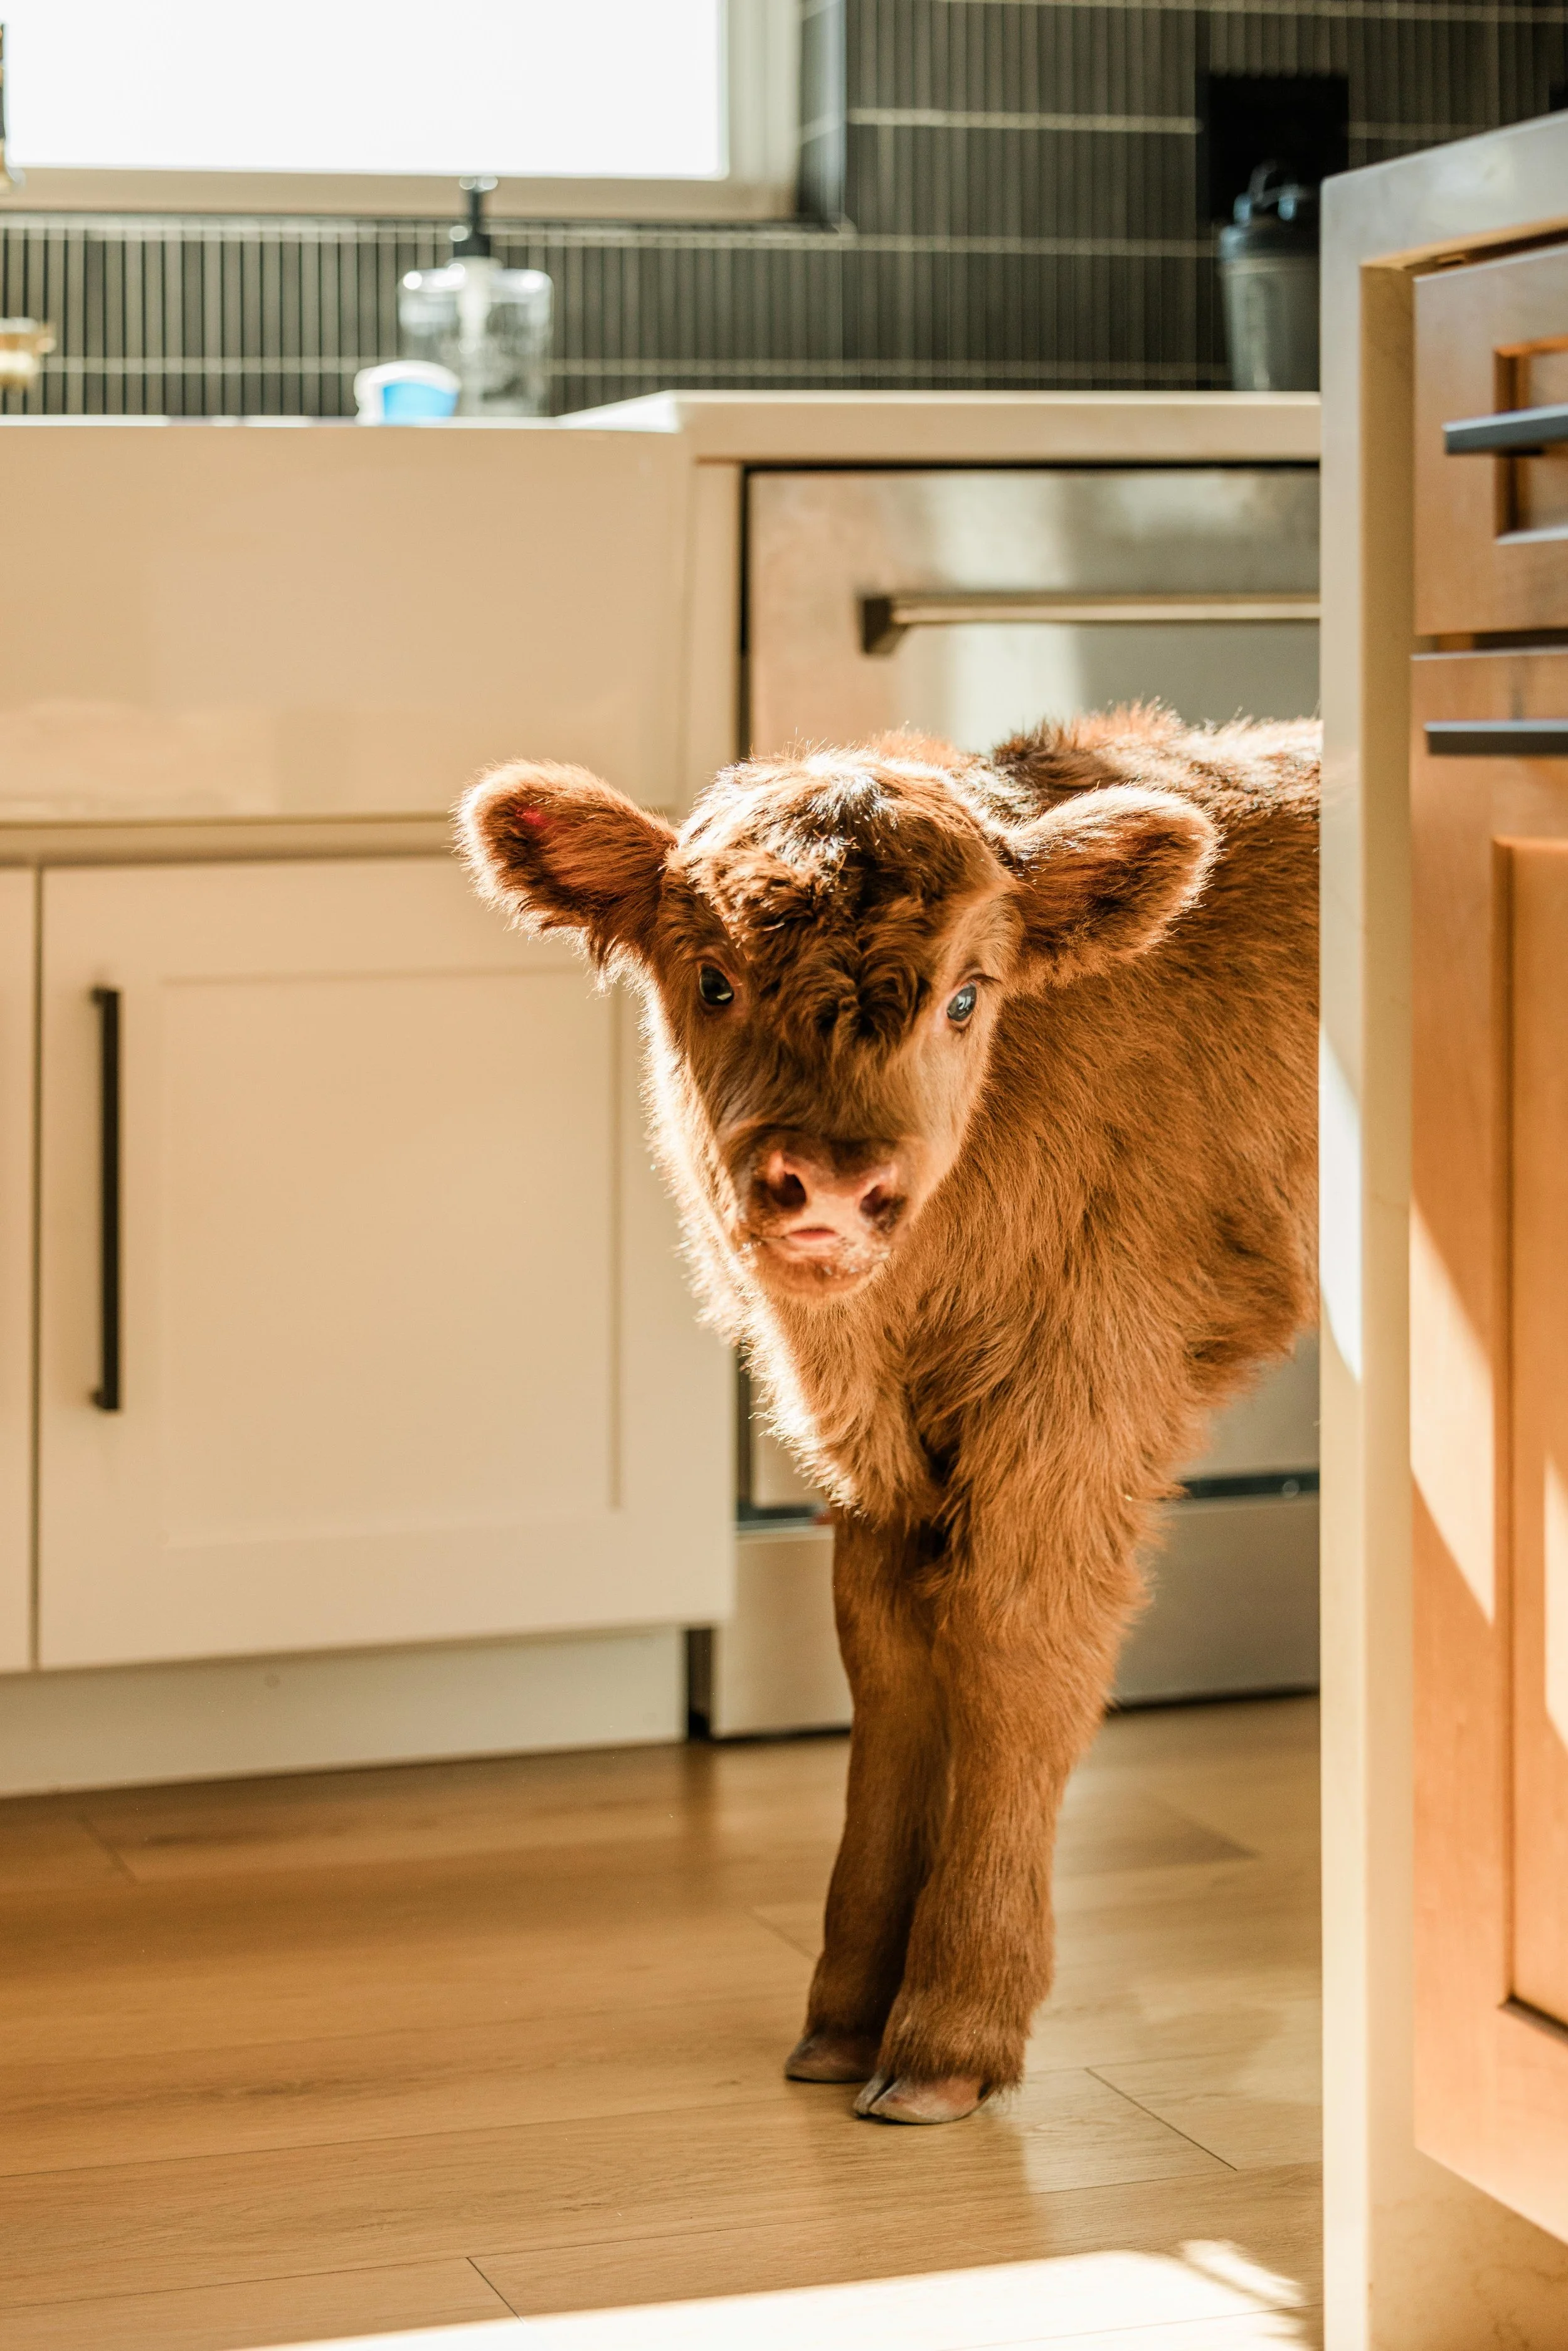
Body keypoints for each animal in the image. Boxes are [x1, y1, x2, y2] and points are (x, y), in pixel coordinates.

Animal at [459, 706, 1318, 2126]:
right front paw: (842, 2017)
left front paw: (951, 2029)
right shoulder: (875, 1468)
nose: (828, 1186)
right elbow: (890, 1655)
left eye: (968, 994)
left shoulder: (1081, 1397)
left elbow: (1016, 1646)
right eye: (711, 979)